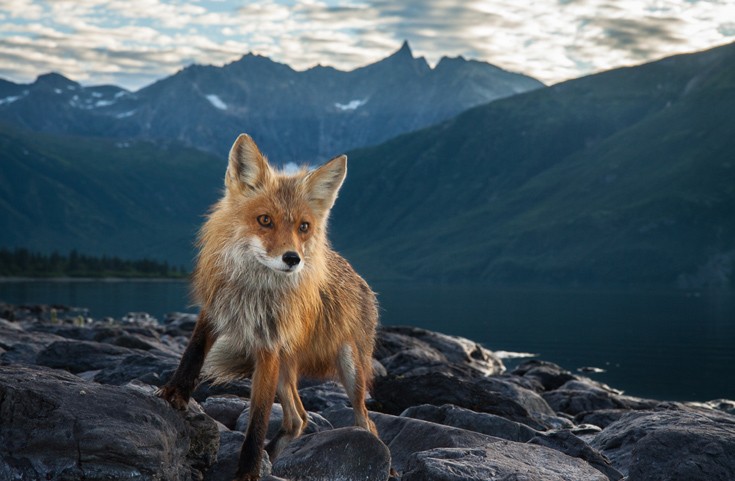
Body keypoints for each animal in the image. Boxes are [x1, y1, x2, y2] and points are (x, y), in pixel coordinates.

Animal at [159, 134, 382, 480]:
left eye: (304, 226)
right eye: (265, 220)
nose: (293, 259)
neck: (254, 291)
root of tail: (361, 280)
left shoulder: (268, 346)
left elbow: (259, 418)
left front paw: (248, 470)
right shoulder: (215, 309)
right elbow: (193, 352)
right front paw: (176, 393)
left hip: (349, 369)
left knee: (366, 422)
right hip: (286, 368)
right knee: (298, 418)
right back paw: (274, 455)